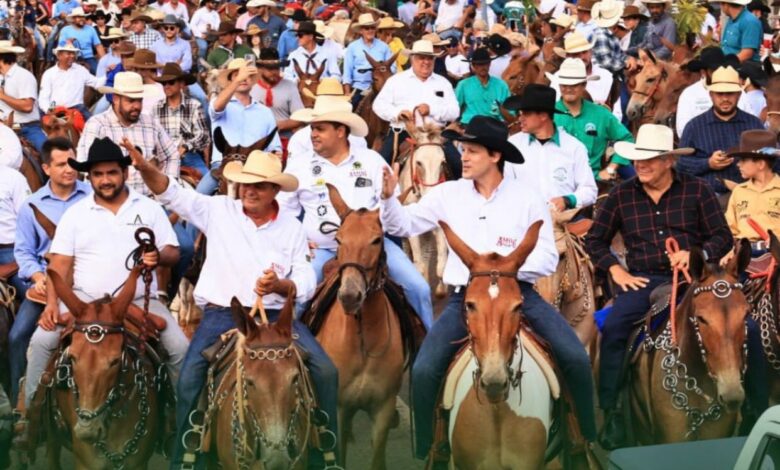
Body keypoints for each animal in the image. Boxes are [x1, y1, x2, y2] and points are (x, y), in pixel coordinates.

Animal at [32, 267, 165, 469]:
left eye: (116, 361)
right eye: (72, 357)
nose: (87, 431)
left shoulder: (139, 463)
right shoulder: (86, 463)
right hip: (52, 437)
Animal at [303, 184, 422, 470]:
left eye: (377, 240)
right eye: (338, 240)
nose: (349, 296)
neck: (363, 338)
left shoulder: (382, 409)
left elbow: (377, 458)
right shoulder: (338, 409)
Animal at [397, 114, 448, 298]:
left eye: (442, 162)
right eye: (419, 163)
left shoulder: (439, 227)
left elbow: (440, 267)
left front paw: (441, 290)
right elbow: (417, 264)